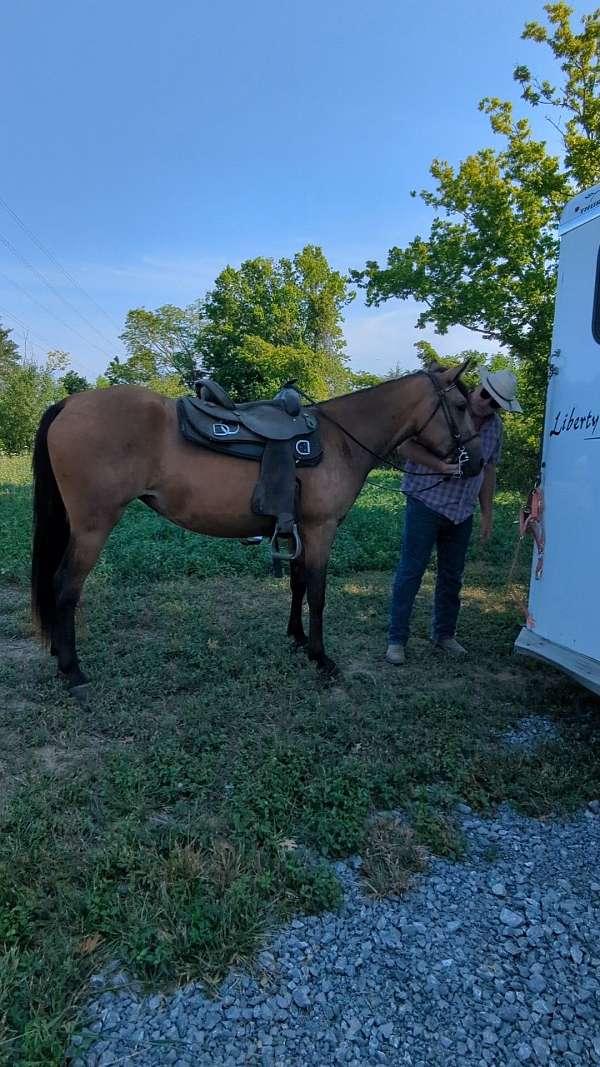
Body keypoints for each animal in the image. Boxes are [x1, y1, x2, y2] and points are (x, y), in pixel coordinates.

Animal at [31, 367, 480, 699]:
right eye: (460, 405)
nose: (475, 461)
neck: (340, 440)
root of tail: (69, 403)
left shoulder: (298, 530)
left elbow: (298, 584)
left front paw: (297, 638)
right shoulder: (320, 530)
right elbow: (318, 594)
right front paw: (321, 658)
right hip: (92, 528)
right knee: (65, 587)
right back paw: (73, 671)